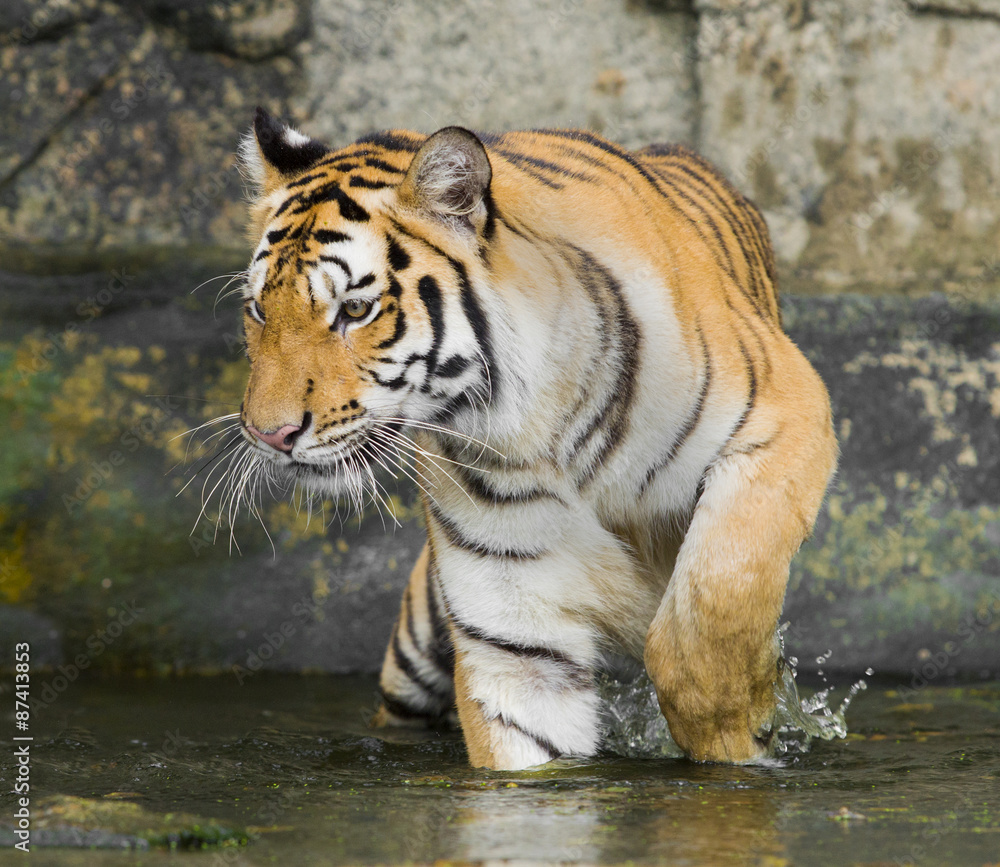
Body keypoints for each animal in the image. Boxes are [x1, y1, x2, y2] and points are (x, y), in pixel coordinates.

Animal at [233, 106, 837, 770]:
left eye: (356, 310)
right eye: (259, 311)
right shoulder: (518, 640)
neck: (536, 421)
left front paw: (734, 723)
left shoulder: (784, 416)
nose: (269, 434)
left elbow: (717, 594)